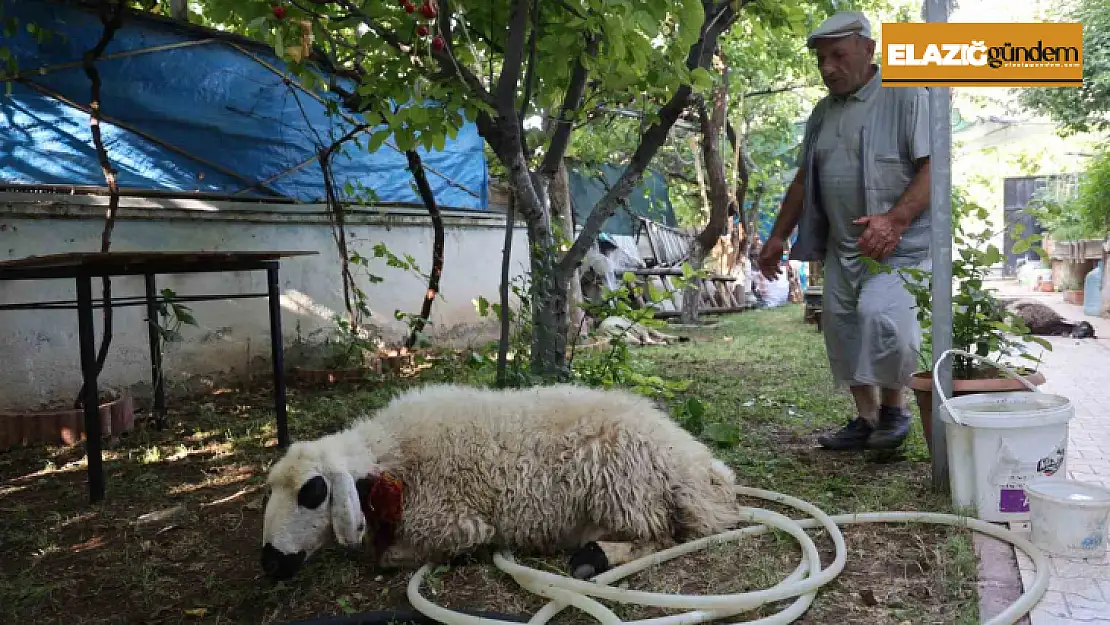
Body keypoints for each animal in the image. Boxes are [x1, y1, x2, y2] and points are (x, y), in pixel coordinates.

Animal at [259, 384, 741, 586]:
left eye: (313, 492)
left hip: (624, 489)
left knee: (660, 537)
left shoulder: (454, 522)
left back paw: (594, 559)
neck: (394, 454)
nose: (271, 563)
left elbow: (391, 556)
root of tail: (698, 467)